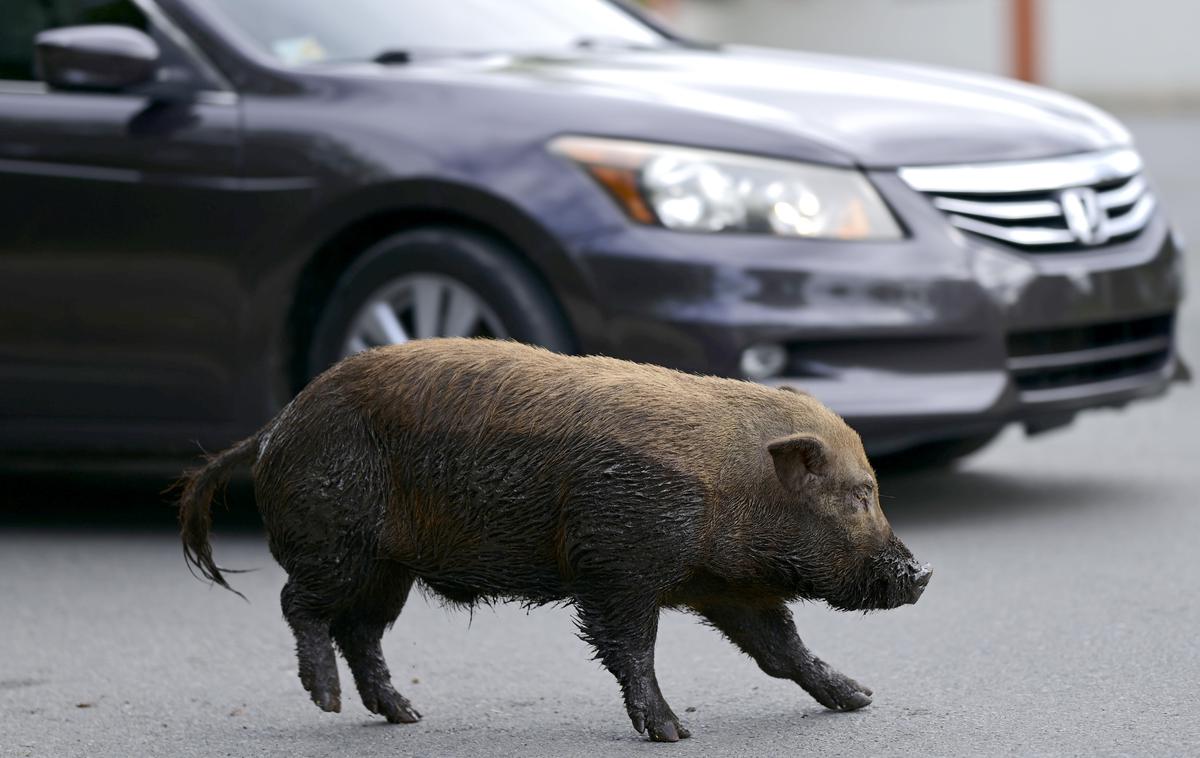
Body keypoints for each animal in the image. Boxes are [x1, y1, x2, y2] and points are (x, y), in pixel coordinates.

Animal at [177, 338, 931, 738]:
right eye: (859, 496)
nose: (921, 574)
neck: (730, 486)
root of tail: (273, 429)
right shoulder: (619, 566)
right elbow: (631, 650)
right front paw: (674, 733)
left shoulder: (726, 587)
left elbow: (782, 650)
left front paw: (859, 698)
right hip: (336, 541)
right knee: (298, 606)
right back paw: (329, 701)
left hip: (388, 568)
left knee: (359, 632)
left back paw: (408, 716)